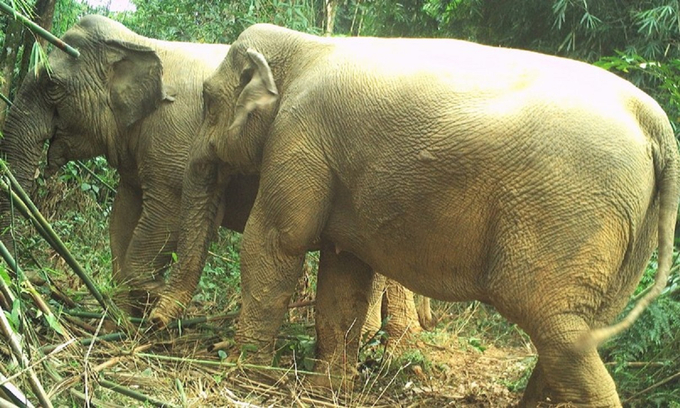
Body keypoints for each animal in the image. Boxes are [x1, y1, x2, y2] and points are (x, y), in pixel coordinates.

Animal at [0, 15, 424, 334]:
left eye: (52, 86)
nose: (21, 284)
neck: (141, 43)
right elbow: (121, 219)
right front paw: (121, 317)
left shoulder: (171, 139)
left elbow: (162, 219)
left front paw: (149, 298)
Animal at [165, 23, 680, 406]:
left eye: (207, 100)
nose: (156, 322)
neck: (306, 45)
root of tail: (656, 123)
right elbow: (344, 272)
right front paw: (326, 390)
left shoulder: (299, 137)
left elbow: (276, 241)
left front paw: (243, 375)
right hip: (628, 229)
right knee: (576, 334)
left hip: (570, 213)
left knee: (557, 328)